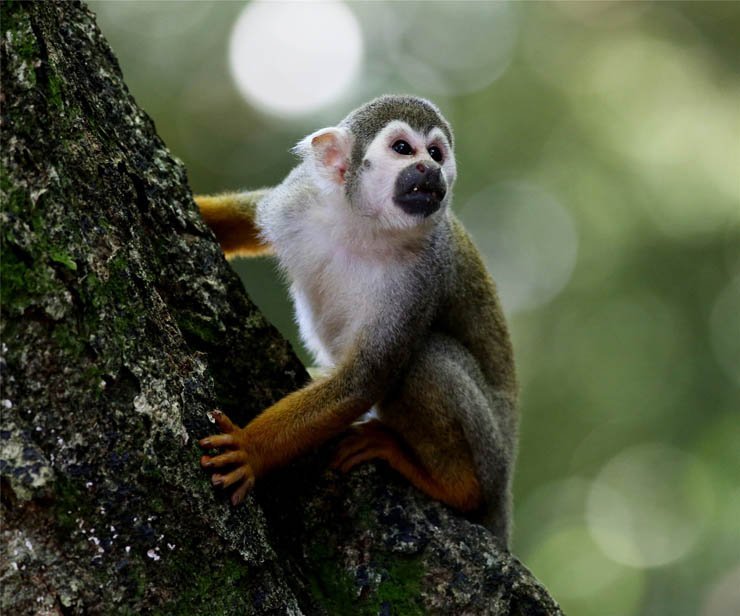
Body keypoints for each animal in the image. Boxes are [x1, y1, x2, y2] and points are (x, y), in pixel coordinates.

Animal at [196, 95, 518, 543]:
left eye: (436, 153)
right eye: (403, 149)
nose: (430, 169)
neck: (362, 226)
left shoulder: (422, 274)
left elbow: (365, 378)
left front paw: (249, 449)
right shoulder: (300, 199)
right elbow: (254, 211)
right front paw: (198, 208)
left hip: (491, 454)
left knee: (425, 359)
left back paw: (453, 485)